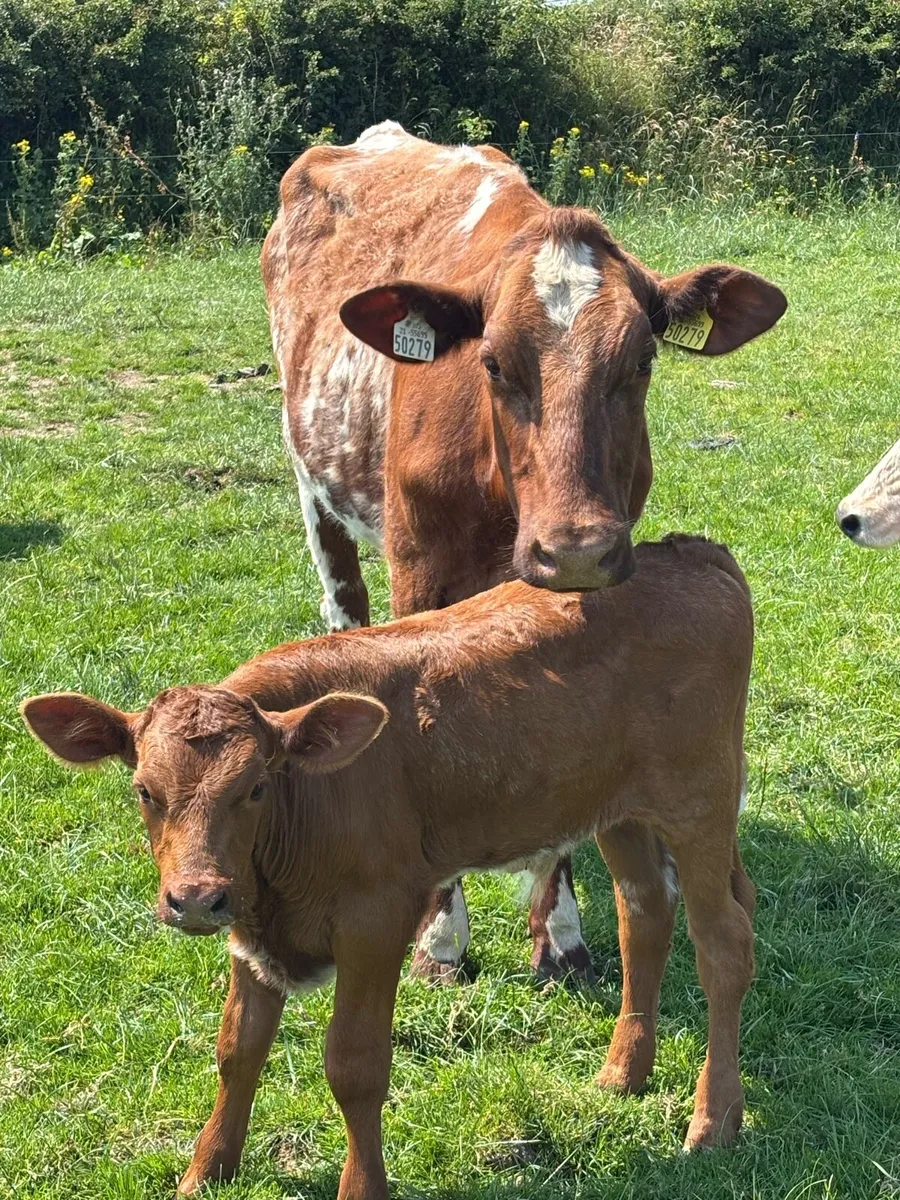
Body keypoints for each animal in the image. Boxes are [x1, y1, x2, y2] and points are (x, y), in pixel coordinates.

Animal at [22, 535, 756, 1200]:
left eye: (255, 788)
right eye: (145, 790)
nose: (197, 899)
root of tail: (685, 550)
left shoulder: (375, 919)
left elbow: (355, 1065)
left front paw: (361, 1186)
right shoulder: (250, 927)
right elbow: (238, 1048)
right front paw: (206, 1172)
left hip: (701, 801)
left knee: (723, 943)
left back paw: (713, 1120)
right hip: (618, 812)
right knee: (645, 914)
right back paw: (623, 1073)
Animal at [262, 120, 783, 984]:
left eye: (642, 361)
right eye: (494, 362)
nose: (574, 547)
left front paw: (561, 933)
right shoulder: (420, 573)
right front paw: (440, 940)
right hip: (315, 485)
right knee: (343, 609)